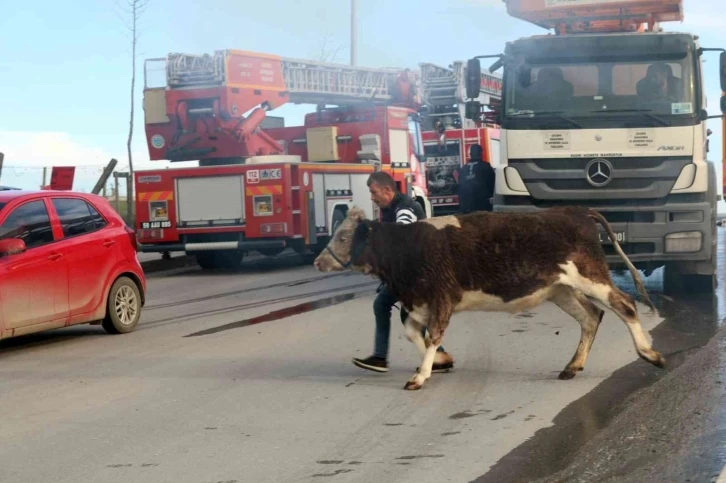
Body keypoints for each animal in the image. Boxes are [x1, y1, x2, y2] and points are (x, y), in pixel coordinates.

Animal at [312, 206, 664, 392]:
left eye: (343, 237)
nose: (317, 261)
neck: (406, 249)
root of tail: (576, 210)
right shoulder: (419, 301)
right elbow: (415, 334)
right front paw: (440, 361)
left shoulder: (442, 295)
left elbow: (432, 335)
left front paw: (421, 375)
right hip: (560, 289)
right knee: (591, 316)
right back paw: (572, 365)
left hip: (589, 275)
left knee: (624, 305)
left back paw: (649, 353)